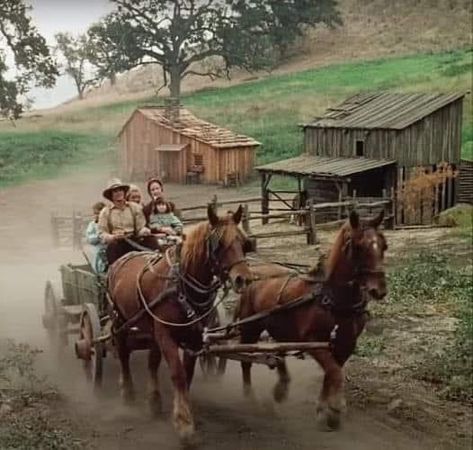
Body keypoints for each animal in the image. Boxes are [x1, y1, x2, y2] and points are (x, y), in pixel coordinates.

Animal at [107, 206, 253, 442]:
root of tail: (123, 258)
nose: (244, 279)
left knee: (152, 361)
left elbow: (187, 374)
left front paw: (183, 412)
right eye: (219, 244)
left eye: (244, 242)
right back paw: (127, 393)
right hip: (120, 321)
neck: (181, 285)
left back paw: (154, 401)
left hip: (151, 328)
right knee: (123, 353)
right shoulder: (166, 335)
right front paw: (184, 423)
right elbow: (177, 374)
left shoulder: (193, 338)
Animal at [236, 210, 388, 428]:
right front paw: (334, 410)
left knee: (279, 349)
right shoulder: (313, 341)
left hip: (281, 328)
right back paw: (249, 396)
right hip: (250, 327)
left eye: (384, 245)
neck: (332, 298)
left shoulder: (346, 343)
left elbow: (332, 372)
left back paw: (281, 386)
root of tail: (253, 274)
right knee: (245, 360)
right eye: (358, 246)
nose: (379, 290)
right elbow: (335, 372)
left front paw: (324, 407)